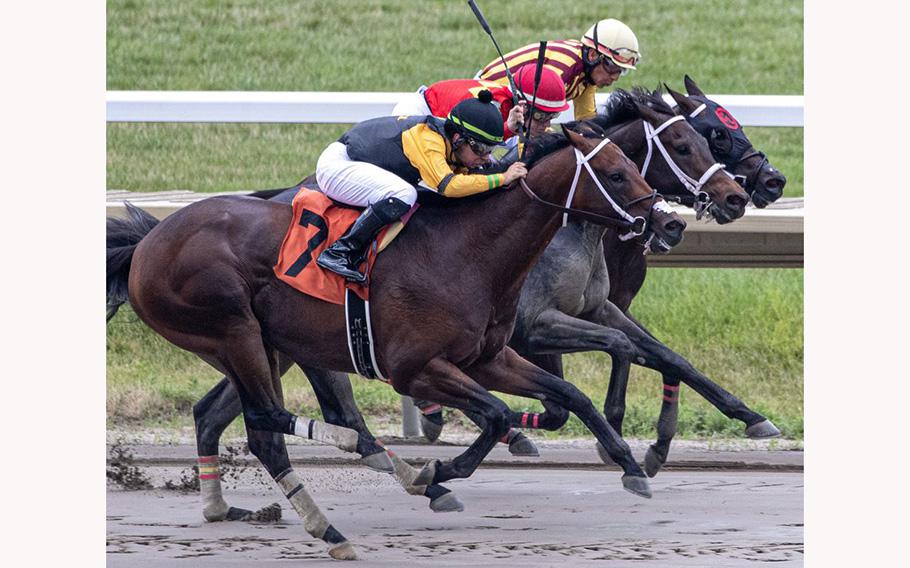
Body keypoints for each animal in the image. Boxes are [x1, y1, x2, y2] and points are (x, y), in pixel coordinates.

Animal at [108, 125, 684, 560]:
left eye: (633, 165)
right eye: (615, 172)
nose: (669, 222)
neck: (466, 251)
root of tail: (149, 242)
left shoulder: (489, 357)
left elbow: (570, 396)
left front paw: (632, 466)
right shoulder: (416, 367)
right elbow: (497, 414)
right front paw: (441, 470)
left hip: (261, 345)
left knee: (250, 424)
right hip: (235, 330)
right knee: (273, 421)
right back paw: (364, 489)